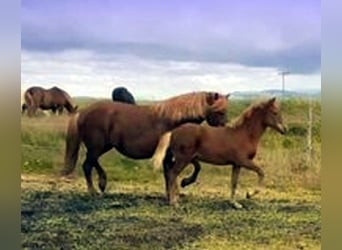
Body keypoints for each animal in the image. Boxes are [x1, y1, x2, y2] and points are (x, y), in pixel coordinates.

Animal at [62, 92, 231, 195]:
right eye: (219, 111)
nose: (226, 129)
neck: (173, 122)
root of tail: (83, 113)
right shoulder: (175, 154)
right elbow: (186, 170)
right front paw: (182, 185)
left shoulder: (174, 155)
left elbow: (187, 169)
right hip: (97, 147)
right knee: (87, 165)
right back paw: (94, 190)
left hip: (103, 146)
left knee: (92, 162)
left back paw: (102, 183)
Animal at [154, 96, 286, 208]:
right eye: (275, 112)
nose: (284, 129)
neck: (245, 134)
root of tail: (173, 131)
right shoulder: (244, 161)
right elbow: (261, 172)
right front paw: (249, 194)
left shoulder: (236, 164)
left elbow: (234, 182)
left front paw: (235, 204)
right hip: (183, 158)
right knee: (172, 174)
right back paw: (174, 202)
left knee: (171, 173)